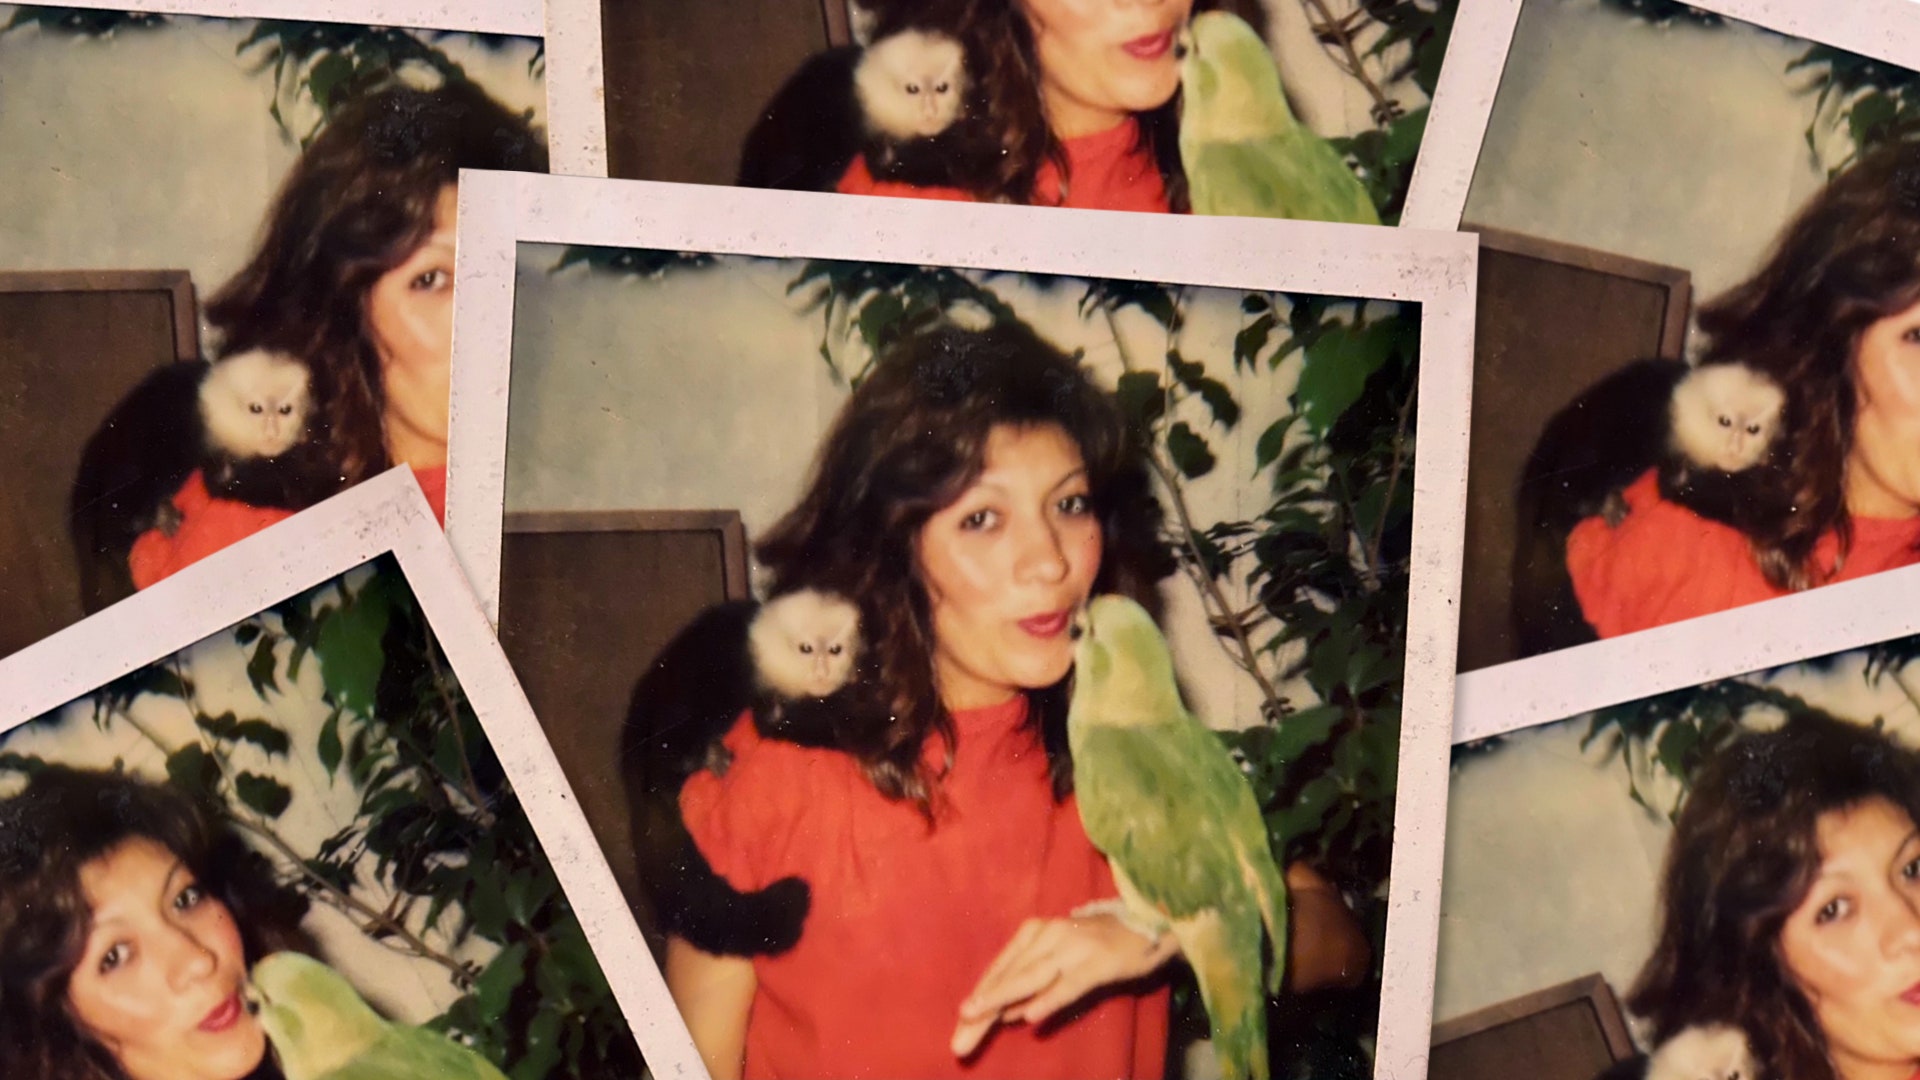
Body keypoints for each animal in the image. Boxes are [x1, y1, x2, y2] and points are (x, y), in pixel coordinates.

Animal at [619, 588, 864, 957]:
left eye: (835, 650)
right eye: (806, 649)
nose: (822, 671)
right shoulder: (754, 677)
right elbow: (781, 723)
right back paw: (704, 757)